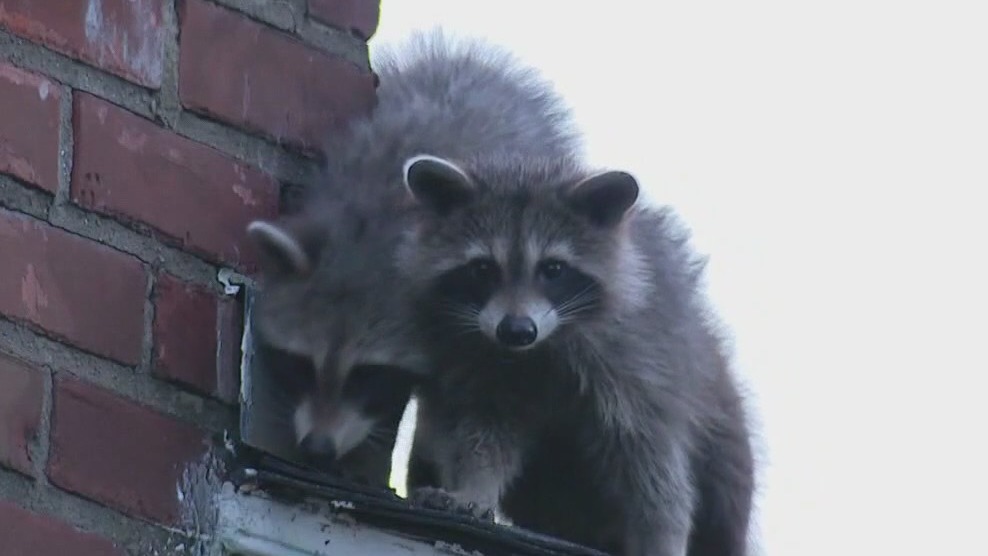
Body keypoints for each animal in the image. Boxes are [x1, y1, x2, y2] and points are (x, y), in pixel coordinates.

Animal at [398, 154, 755, 556]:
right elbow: (485, 435)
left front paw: (662, 536)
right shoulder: (483, 362)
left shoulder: (643, 363)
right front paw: (476, 488)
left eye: (553, 268)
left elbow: (653, 467)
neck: (544, 344)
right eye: (483, 268)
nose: (516, 330)